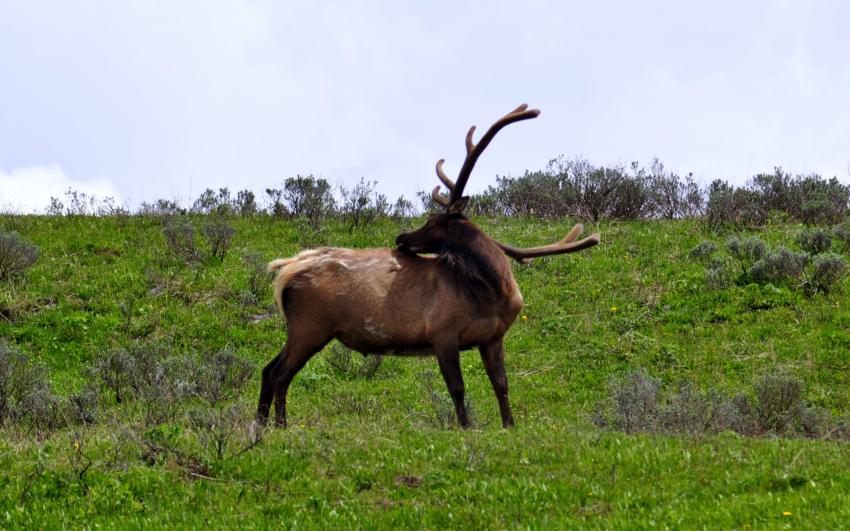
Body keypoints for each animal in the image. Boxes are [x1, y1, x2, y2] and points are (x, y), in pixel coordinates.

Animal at [258, 104, 596, 428]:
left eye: (434, 222)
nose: (401, 238)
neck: (493, 294)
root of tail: (285, 272)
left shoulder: (493, 337)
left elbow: (501, 384)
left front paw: (509, 426)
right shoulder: (441, 333)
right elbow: (457, 388)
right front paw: (465, 428)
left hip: (303, 328)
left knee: (268, 368)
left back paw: (261, 424)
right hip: (310, 325)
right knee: (280, 373)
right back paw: (280, 426)